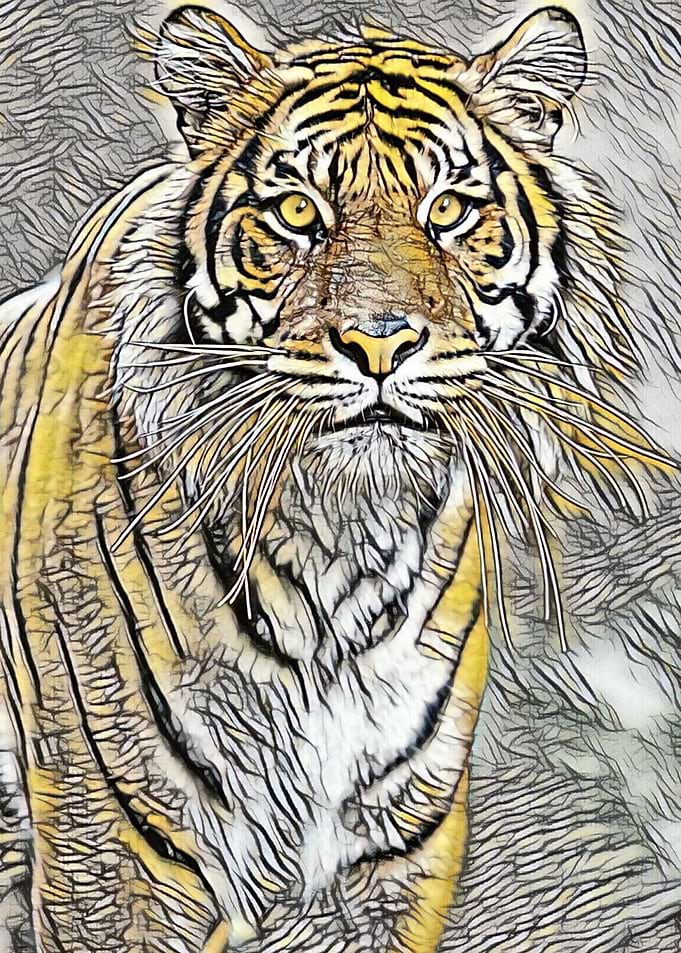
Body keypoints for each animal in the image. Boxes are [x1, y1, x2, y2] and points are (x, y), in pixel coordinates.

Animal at [0, 3, 672, 952]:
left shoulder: (396, 847)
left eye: (448, 209)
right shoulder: (118, 857)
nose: (379, 342)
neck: (339, 534)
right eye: (296, 211)